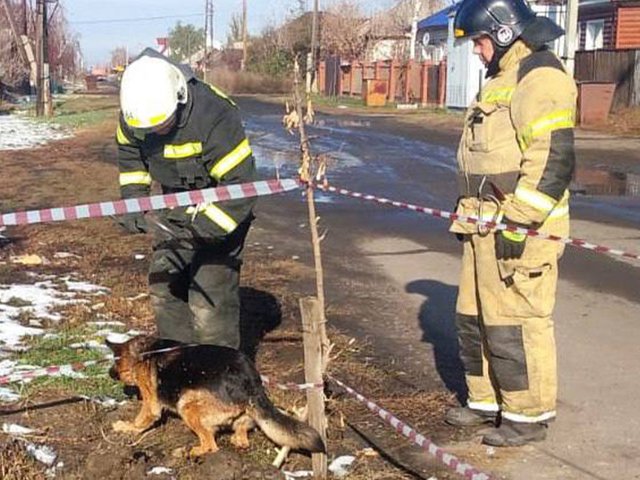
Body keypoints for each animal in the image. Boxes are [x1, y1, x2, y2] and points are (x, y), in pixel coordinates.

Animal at [107, 336, 324, 456]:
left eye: (115, 363)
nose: (109, 374)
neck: (143, 353)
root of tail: (251, 382)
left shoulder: (151, 401)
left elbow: (141, 420)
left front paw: (127, 427)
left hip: (186, 404)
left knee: (211, 444)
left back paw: (193, 451)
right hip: (244, 414)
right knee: (241, 434)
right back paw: (238, 440)